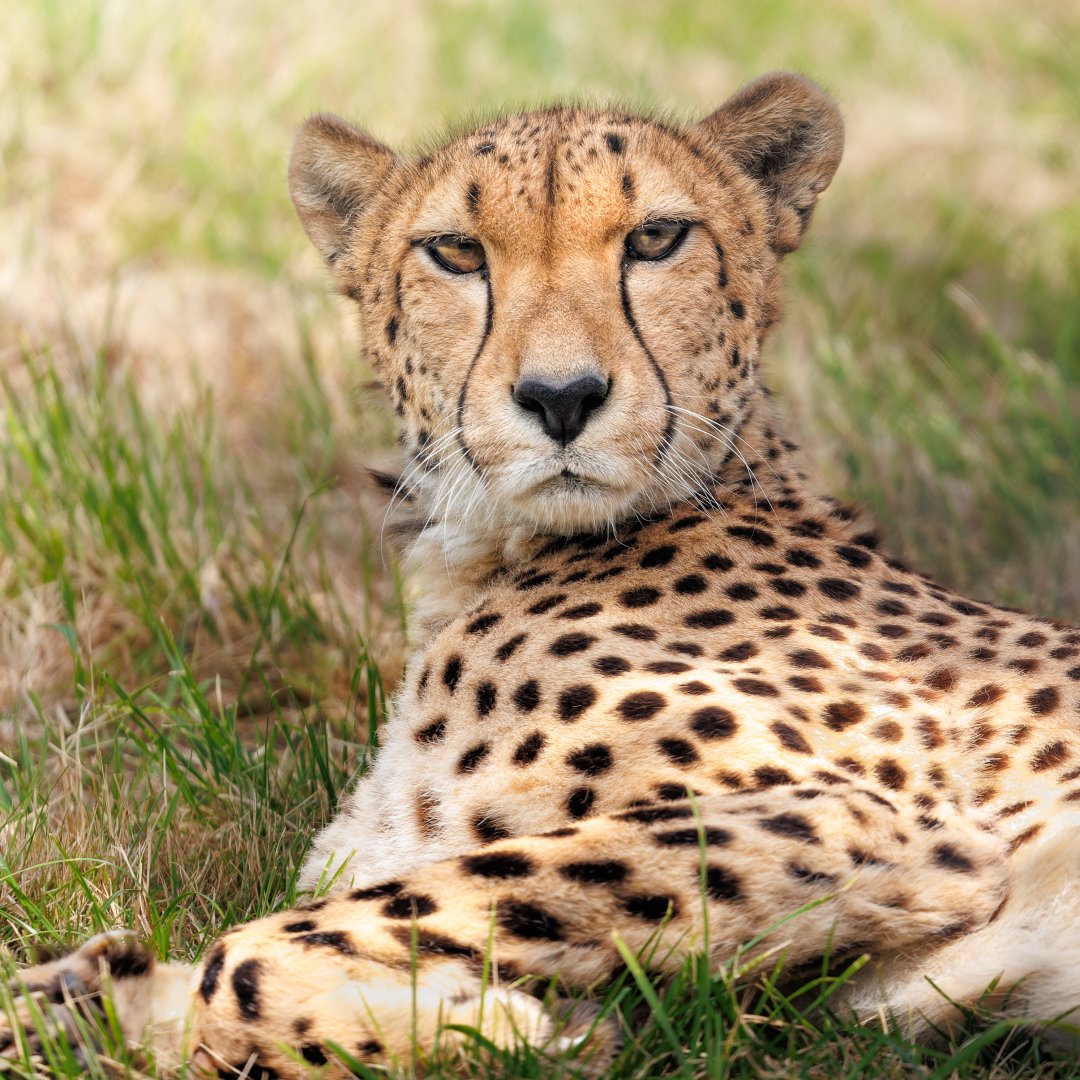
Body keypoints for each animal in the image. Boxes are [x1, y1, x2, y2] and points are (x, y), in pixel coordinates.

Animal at [4, 71, 1080, 1078]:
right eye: (455, 252)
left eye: (657, 239)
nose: (562, 397)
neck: (483, 554)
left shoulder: (871, 821)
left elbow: (262, 955)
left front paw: (491, 1027)